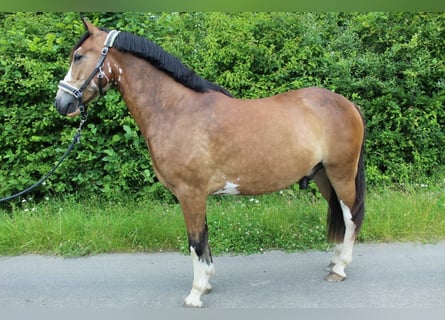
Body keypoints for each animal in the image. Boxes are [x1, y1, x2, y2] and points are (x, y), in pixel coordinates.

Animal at [53, 18, 364, 308]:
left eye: (78, 56)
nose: (62, 103)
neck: (176, 110)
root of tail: (347, 104)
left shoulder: (190, 193)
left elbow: (195, 241)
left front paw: (196, 293)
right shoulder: (195, 194)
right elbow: (204, 238)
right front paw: (208, 282)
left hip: (341, 173)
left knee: (350, 215)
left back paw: (340, 268)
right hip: (323, 177)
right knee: (339, 213)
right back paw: (333, 261)